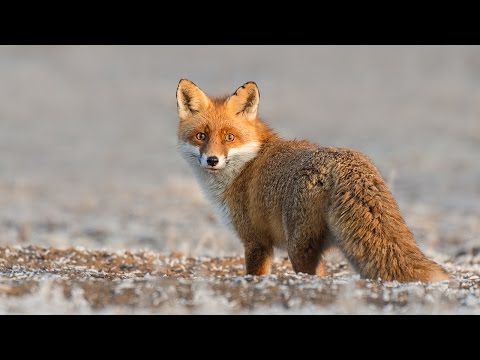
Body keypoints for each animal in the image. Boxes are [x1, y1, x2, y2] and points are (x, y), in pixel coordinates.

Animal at [176, 78, 450, 282]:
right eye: (201, 136)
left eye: (229, 137)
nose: (212, 160)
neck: (247, 164)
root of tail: (347, 161)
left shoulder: (256, 242)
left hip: (298, 247)